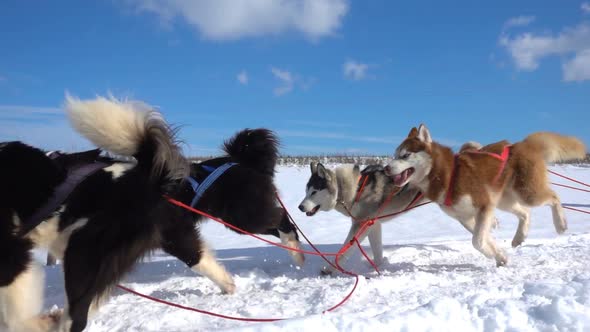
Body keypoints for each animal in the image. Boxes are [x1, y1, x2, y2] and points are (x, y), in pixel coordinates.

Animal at [0, 94, 302, 330]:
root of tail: (242, 159)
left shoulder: (13, 253)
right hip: (170, 236)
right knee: (200, 257)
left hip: (239, 217)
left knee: (282, 221)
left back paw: (296, 253)